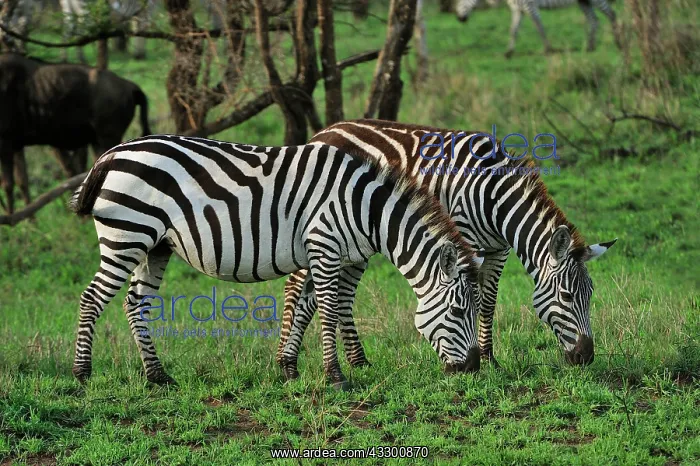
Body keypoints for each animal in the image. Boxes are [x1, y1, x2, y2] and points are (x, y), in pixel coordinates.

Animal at [68, 134, 484, 388]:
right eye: (459, 311)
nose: (474, 368)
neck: (363, 207)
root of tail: (113, 153)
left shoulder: (320, 252)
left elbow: (306, 309)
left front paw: (288, 368)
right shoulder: (324, 246)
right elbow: (328, 311)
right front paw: (335, 376)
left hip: (155, 246)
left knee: (135, 303)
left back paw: (157, 376)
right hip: (126, 235)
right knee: (91, 299)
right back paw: (82, 373)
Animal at [276, 119, 617, 376]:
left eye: (591, 295)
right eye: (568, 296)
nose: (586, 357)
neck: (494, 197)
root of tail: (324, 131)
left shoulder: (498, 250)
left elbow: (488, 302)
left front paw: (490, 359)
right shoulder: (465, 240)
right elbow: (474, 298)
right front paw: (475, 357)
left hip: (355, 240)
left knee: (343, 295)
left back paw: (358, 362)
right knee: (295, 287)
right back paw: (284, 359)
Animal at [454, 0, 622, 58]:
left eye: (460, 1)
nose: (459, 19)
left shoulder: (529, 6)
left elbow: (539, 27)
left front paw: (548, 49)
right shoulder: (518, 10)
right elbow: (513, 30)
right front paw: (508, 52)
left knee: (612, 14)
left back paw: (618, 43)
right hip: (584, 1)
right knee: (593, 20)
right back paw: (590, 46)